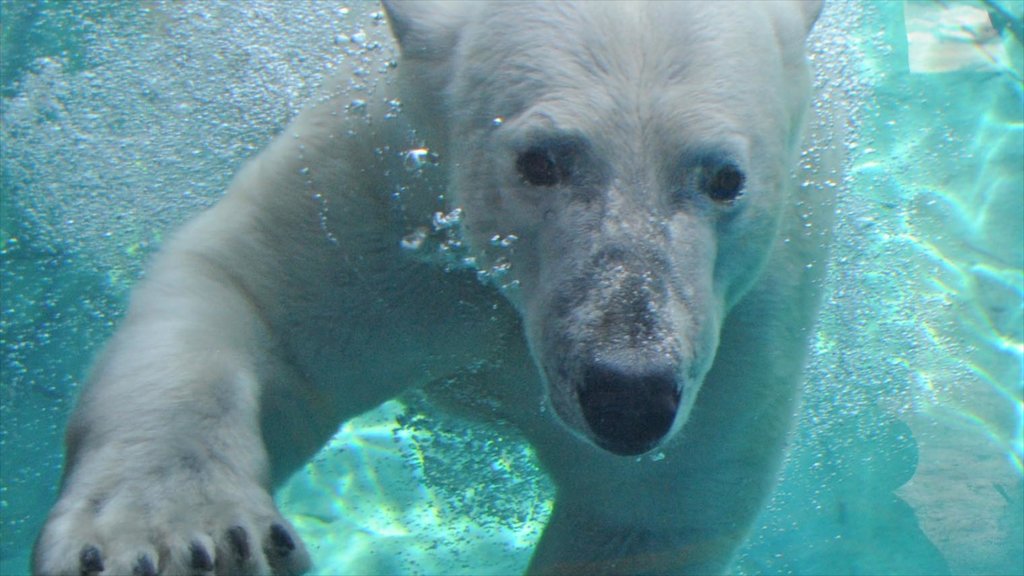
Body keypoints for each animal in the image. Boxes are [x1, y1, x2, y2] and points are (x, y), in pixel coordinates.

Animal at [34, 2, 831, 569]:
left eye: (725, 178)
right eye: (539, 161)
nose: (628, 395)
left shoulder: (741, 336)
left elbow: (651, 508)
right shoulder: (377, 189)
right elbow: (248, 297)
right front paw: (186, 537)